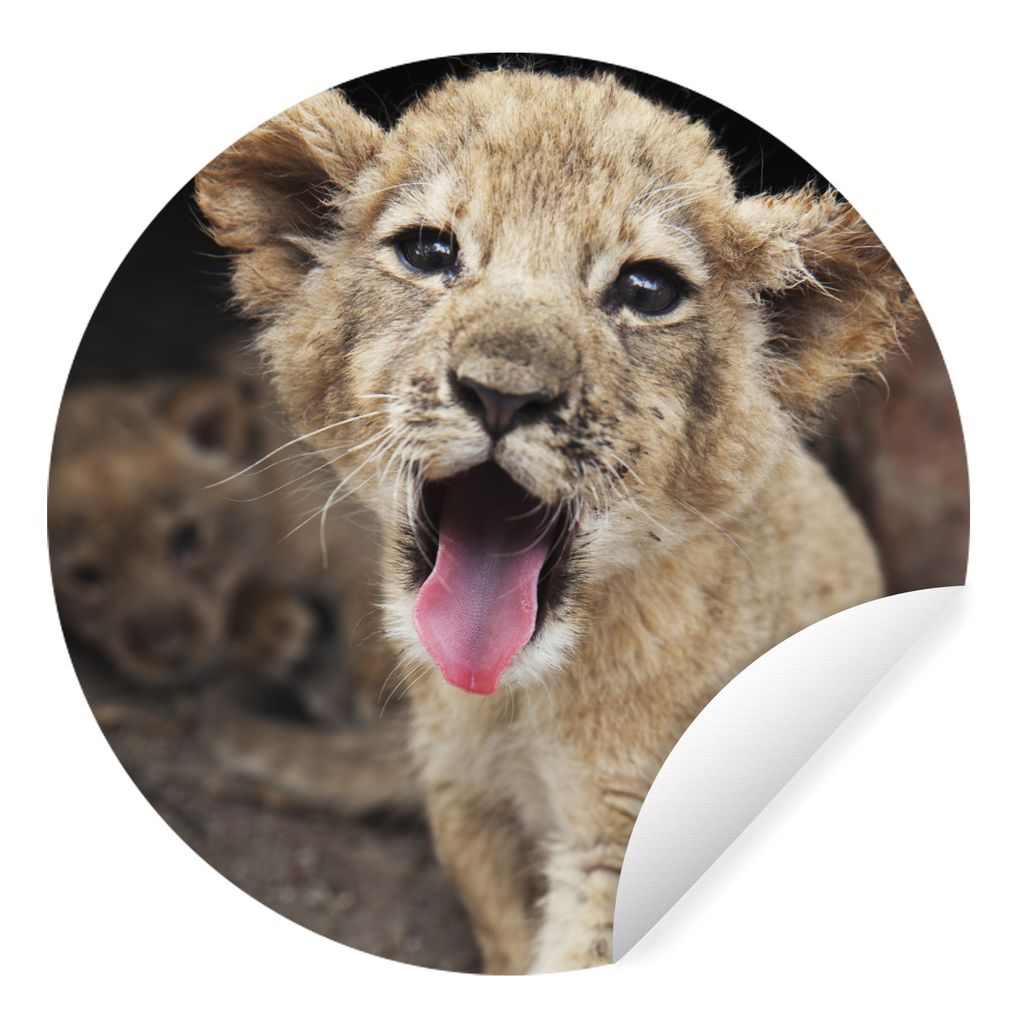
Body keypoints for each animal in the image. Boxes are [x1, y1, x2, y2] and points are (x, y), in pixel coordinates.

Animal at [195, 69, 918, 973]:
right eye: (428, 252)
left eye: (647, 291)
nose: (503, 393)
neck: (520, 698)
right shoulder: (464, 798)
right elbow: (508, 945)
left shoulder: (622, 832)